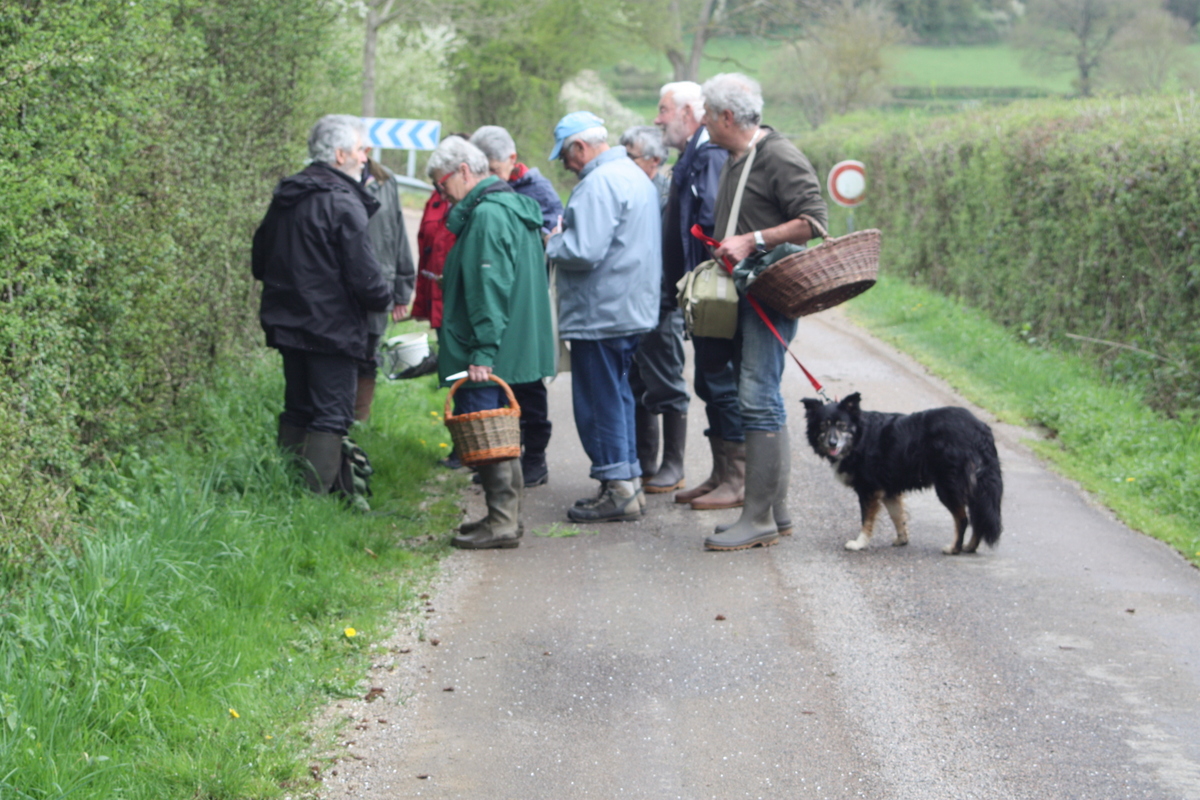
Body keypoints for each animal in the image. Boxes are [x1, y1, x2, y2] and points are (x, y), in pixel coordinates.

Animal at [806, 393, 1003, 554]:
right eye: (823, 426)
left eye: (842, 426)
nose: (832, 443)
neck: (859, 438)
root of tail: (980, 429)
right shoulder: (888, 490)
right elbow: (897, 516)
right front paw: (902, 539)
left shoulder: (868, 489)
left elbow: (866, 519)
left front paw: (859, 543)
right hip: (976, 486)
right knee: (979, 516)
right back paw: (970, 546)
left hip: (949, 485)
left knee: (963, 519)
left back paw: (954, 548)